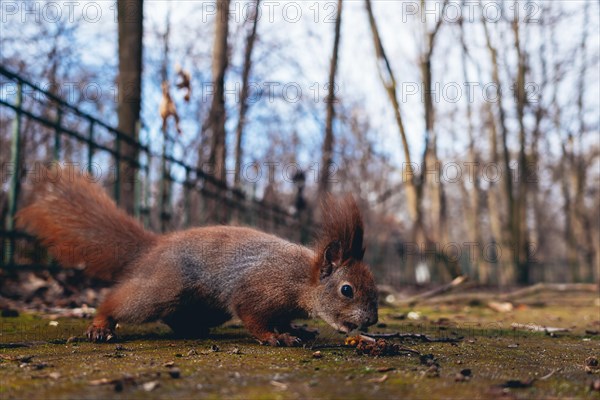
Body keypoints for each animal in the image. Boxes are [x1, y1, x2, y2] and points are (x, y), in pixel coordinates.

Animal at [16, 167, 378, 346]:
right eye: (347, 289)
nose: (373, 320)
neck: (303, 278)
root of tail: (154, 246)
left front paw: (297, 328)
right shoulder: (259, 289)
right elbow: (254, 318)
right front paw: (277, 336)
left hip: (204, 306)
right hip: (165, 288)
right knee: (121, 301)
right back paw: (101, 325)